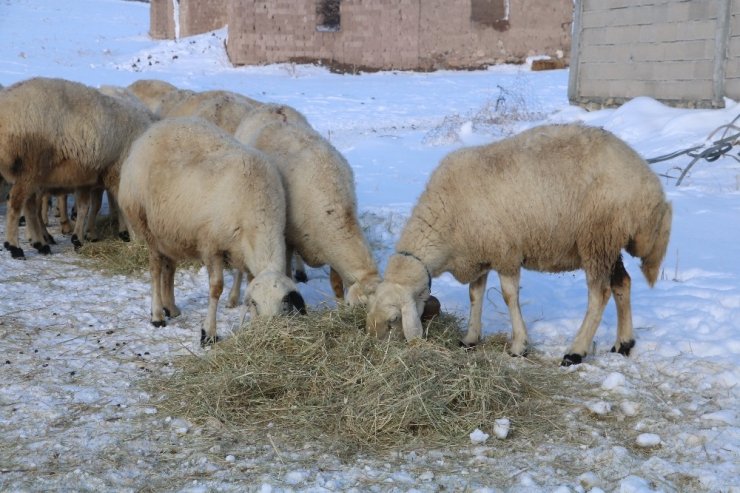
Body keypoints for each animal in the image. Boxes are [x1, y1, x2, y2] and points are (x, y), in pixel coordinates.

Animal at [0, 76, 154, 258]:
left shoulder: (87, 178)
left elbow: (84, 207)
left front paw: (78, 238)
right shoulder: (115, 173)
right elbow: (118, 205)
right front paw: (131, 237)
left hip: (32, 173)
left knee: (30, 206)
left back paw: (40, 243)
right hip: (30, 167)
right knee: (16, 203)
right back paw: (15, 246)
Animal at [118, 117, 304, 344]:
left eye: (283, 306)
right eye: (256, 305)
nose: (265, 333)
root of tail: (153, 130)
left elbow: (250, 281)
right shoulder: (211, 246)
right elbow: (216, 288)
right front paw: (208, 333)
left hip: (170, 230)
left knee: (169, 267)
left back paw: (171, 307)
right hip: (147, 225)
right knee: (155, 270)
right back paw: (157, 315)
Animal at [231, 103, 382, 304]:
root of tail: (272, 105)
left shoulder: (329, 250)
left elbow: (336, 283)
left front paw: (339, 305)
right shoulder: (286, 238)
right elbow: (286, 274)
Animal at [364, 123, 672, 366]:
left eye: (393, 320)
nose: (377, 349)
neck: (445, 224)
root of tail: (650, 184)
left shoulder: (506, 253)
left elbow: (509, 297)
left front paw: (518, 346)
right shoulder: (480, 253)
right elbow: (475, 296)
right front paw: (470, 338)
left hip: (597, 237)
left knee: (600, 293)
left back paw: (576, 351)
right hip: (609, 242)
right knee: (623, 283)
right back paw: (624, 344)